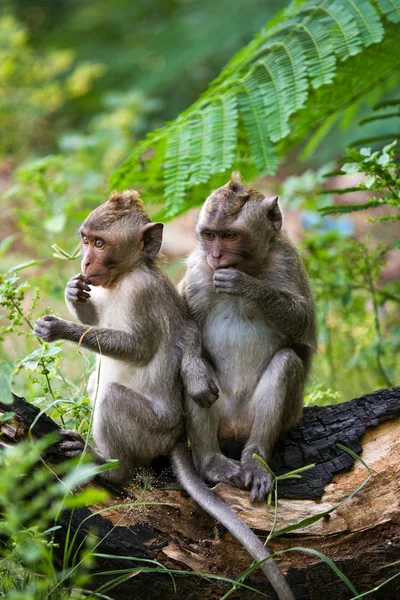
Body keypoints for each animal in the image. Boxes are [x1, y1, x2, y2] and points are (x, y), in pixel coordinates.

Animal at [34, 190, 296, 600]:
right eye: (85, 239)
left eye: (100, 243)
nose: (86, 261)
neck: (125, 276)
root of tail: (176, 435)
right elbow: (98, 320)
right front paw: (73, 292)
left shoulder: (141, 292)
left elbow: (138, 348)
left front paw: (61, 327)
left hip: (152, 429)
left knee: (111, 398)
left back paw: (107, 463)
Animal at [180, 172, 318, 502]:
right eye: (210, 235)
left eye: (230, 236)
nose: (216, 255)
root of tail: (235, 427)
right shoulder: (198, 269)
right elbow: (182, 323)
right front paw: (194, 375)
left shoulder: (287, 261)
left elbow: (303, 322)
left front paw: (246, 286)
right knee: (194, 374)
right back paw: (211, 462)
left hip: (284, 414)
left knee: (286, 363)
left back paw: (256, 460)